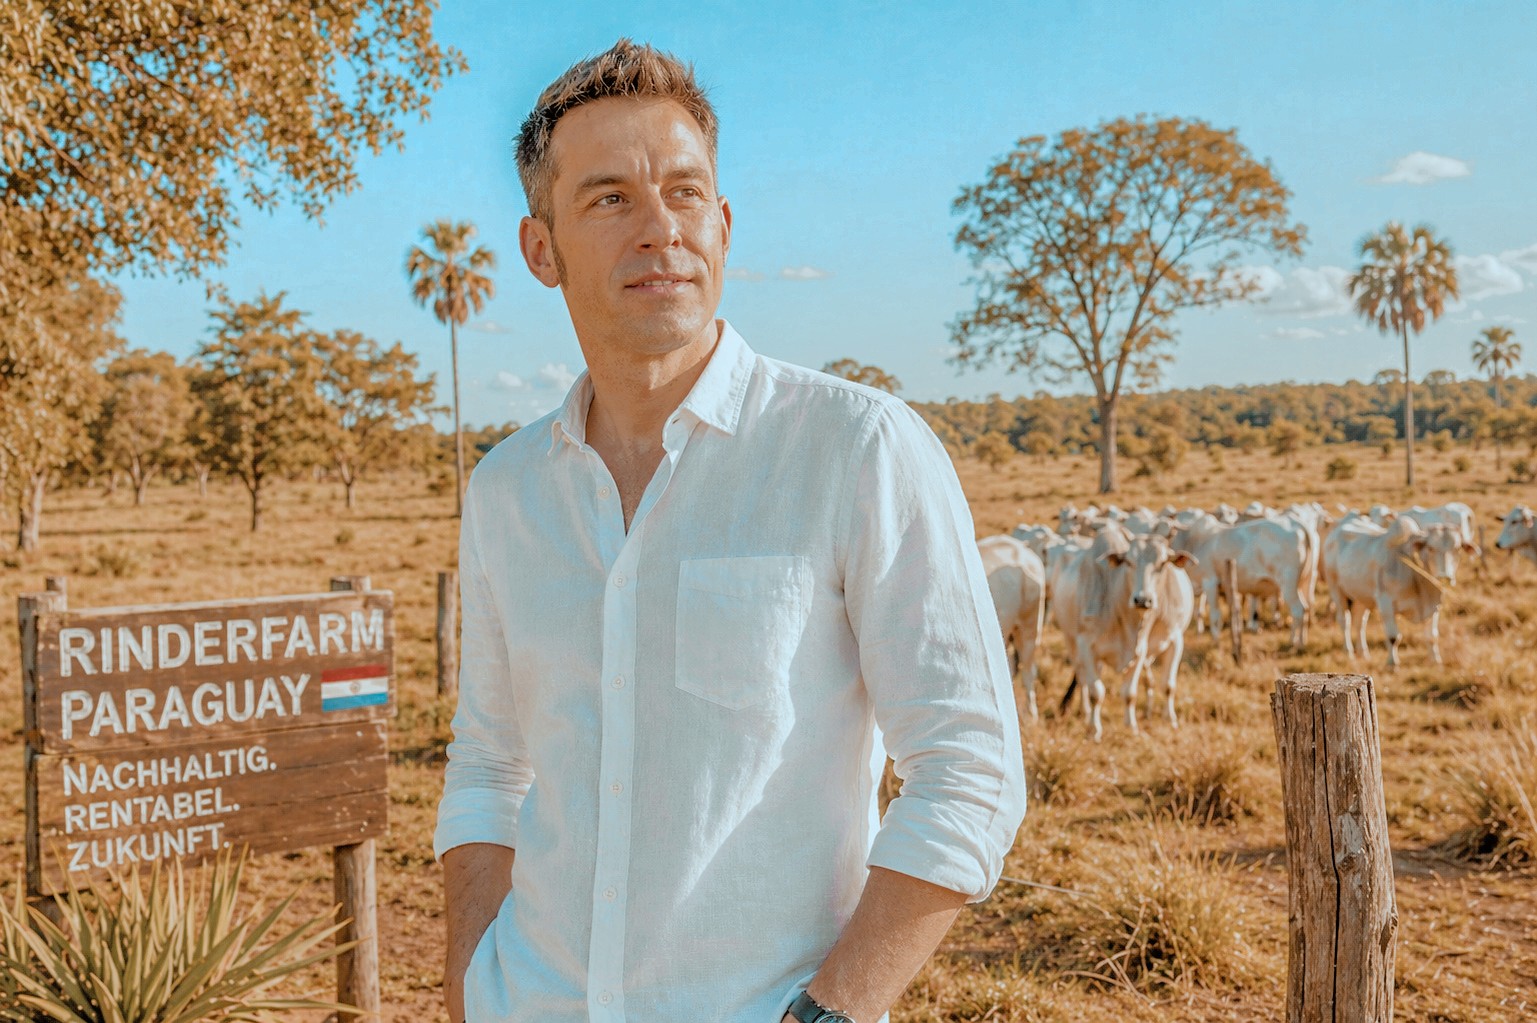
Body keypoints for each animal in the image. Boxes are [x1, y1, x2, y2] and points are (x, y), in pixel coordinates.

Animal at [1051, 525, 1197, 739]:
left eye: (1162, 563)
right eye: (1128, 562)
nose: (1142, 600)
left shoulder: (1151, 647)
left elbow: (1136, 692)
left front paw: (1134, 725)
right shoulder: (1086, 646)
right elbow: (1096, 692)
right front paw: (1094, 730)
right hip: (1070, 639)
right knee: (1082, 677)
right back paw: (1085, 712)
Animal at [1322, 515, 1474, 667]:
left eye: (1457, 549)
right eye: (1430, 548)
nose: (1445, 577)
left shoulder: (1433, 607)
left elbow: (1432, 636)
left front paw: (1435, 661)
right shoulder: (1385, 604)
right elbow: (1393, 637)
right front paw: (1392, 663)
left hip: (1361, 596)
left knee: (1360, 623)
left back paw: (1363, 653)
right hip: (1336, 589)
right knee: (1344, 620)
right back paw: (1349, 651)